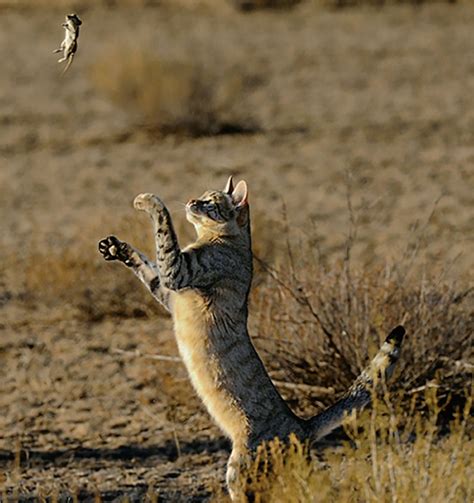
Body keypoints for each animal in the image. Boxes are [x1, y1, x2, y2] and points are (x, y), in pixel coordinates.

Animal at [99, 177, 404, 500]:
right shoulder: (168, 291)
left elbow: (162, 225)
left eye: (210, 202)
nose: (192, 201)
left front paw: (145, 199)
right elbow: (148, 267)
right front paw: (116, 248)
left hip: (240, 468)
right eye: (202, 195)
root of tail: (302, 425)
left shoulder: (179, 270)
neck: (224, 240)